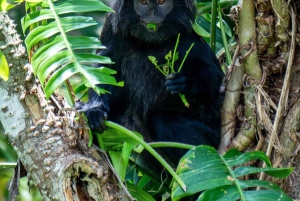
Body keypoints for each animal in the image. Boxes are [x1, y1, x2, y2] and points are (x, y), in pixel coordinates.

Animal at [79, 0, 223, 166]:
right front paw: (94, 110)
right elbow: (104, 70)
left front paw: (186, 83)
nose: (152, 14)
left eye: (161, 2)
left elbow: (214, 75)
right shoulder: (111, 25)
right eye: (143, 3)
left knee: (161, 119)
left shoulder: (186, 34)